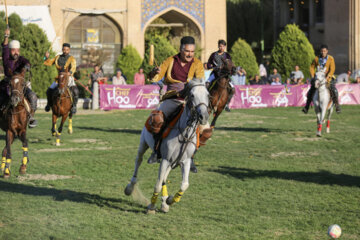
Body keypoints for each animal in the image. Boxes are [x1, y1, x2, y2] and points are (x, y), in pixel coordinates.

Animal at [124, 79, 210, 214]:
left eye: (207, 95)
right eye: (192, 95)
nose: (204, 116)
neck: (184, 133)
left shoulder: (185, 161)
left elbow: (184, 184)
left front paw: (170, 200)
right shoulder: (165, 159)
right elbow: (158, 184)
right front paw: (151, 207)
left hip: (171, 162)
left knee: (165, 177)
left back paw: (164, 203)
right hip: (143, 144)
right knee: (139, 161)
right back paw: (130, 188)